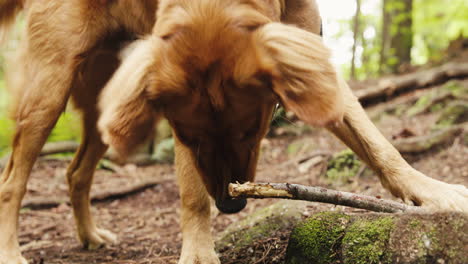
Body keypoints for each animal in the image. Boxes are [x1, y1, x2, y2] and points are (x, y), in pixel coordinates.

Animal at [0, 0, 468, 264]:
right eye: (189, 138)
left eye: (252, 132)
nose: (230, 205)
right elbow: (191, 194)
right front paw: (199, 253)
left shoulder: (306, 51)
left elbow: (379, 144)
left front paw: (435, 193)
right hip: (49, 89)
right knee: (12, 182)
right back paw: (11, 252)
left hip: (111, 107)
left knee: (75, 172)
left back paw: (90, 236)